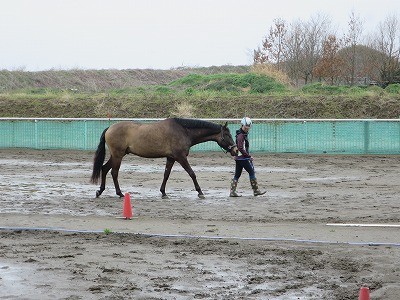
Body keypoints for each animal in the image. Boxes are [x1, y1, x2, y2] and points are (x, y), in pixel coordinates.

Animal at [90, 118, 238, 199]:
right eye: (228, 135)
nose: (236, 150)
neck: (183, 131)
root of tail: (110, 128)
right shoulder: (181, 157)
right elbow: (192, 173)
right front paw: (200, 192)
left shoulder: (171, 158)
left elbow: (166, 175)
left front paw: (163, 192)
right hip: (118, 155)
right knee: (114, 172)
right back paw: (119, 193)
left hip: (117, 155)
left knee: (104, 169)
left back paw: (100, 191)